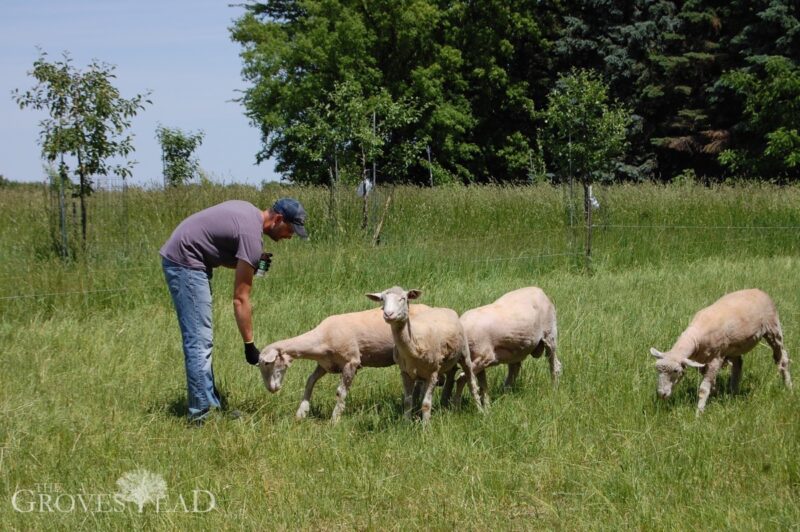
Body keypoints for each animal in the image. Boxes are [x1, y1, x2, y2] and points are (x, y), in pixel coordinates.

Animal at [260, 304, 428, 424]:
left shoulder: (351, 362)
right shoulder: (325, 364)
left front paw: (335, 420)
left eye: (268, 364)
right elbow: (310, 381)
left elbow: (340, 392)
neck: (321, 338)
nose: (271, 389)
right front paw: (301, 413)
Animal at [366, 286, 484, 424]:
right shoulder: (405, 372)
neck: (414, 343)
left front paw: (426, 426)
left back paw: (480, 410)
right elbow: (408, 402)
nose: (388, 314)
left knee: (471, 382)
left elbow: (426, 404)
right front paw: (406, 424)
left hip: (464, 353)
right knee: (450, 375)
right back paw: (445, 403)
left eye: (403, 298)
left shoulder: (432, 373)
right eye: (382, 299)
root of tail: (442, 308)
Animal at [648, 286, 792, 416]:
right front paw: (716, 397)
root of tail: (758, 290)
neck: (695, 336)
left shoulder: (716, 358)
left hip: (773, 328)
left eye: (676, 371)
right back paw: (733, 394)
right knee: (738, 366)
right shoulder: (700, 361)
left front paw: (699, 413)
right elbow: (711, 384)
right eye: (657, 369)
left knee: (782, 358)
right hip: (734, 346)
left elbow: (703, 389)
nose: (661, 394)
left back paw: (789, 387)